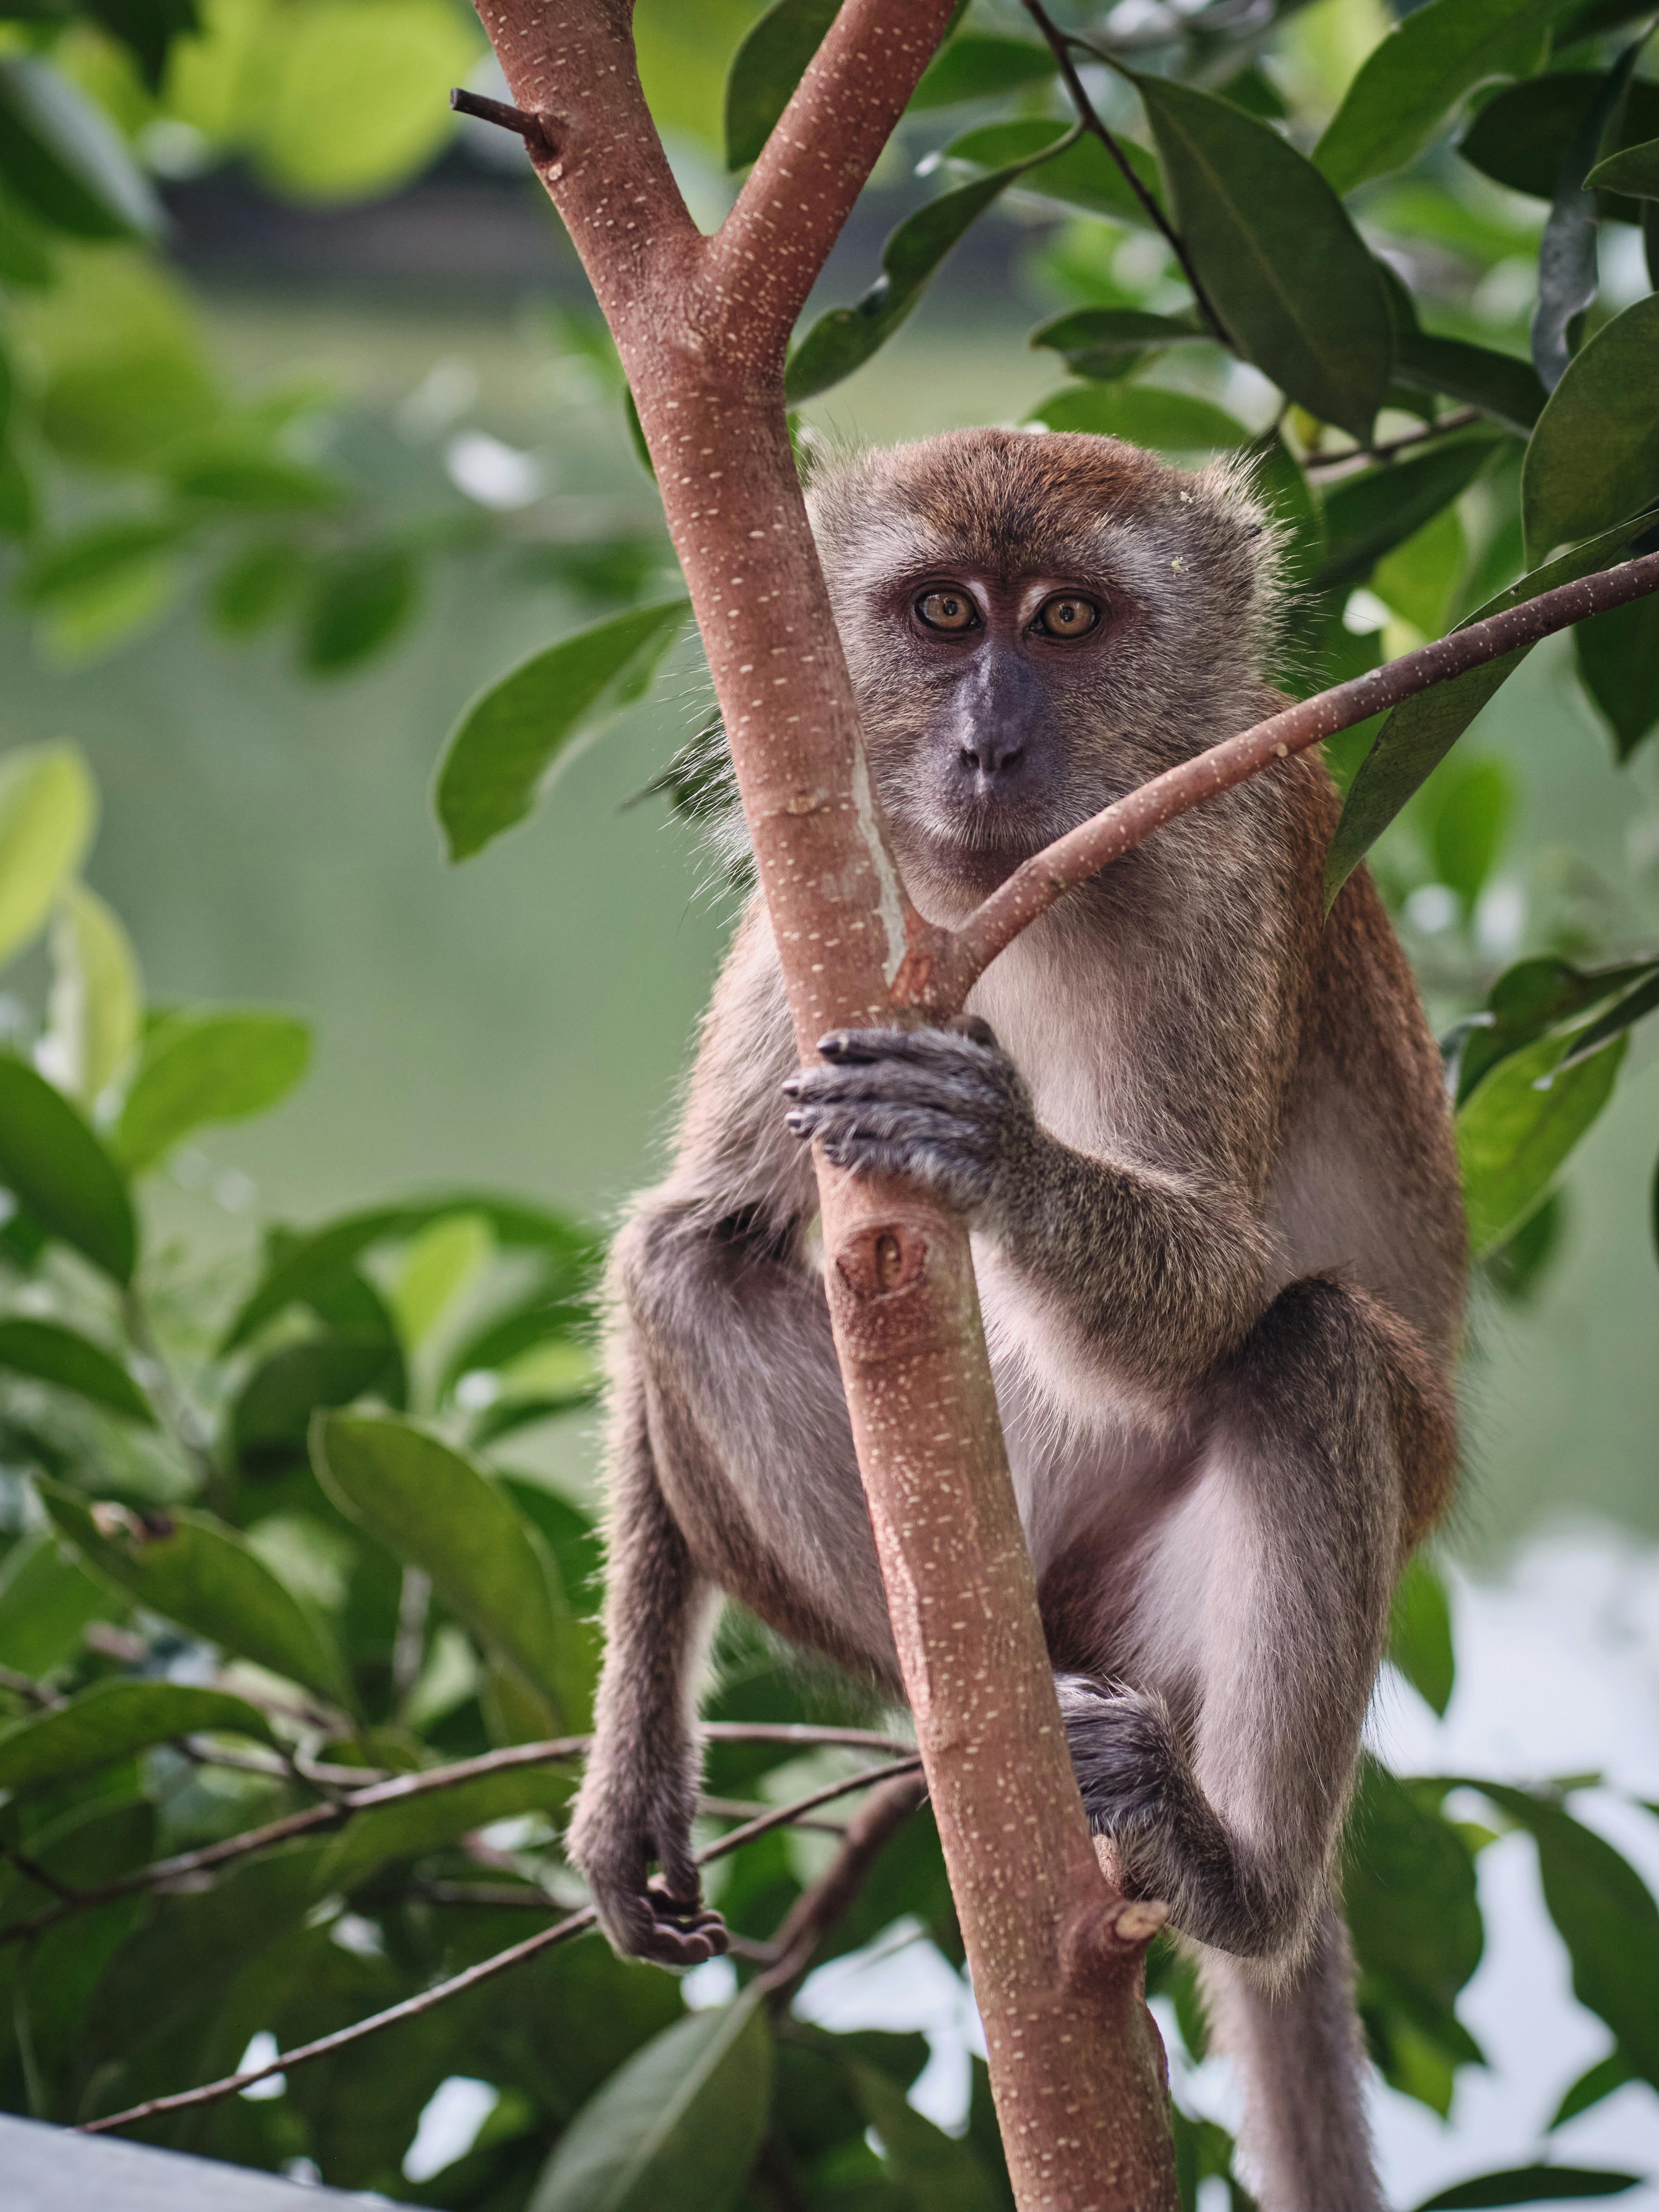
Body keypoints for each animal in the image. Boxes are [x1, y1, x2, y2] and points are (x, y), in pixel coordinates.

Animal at [566, 426, 1465, 2212]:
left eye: (1062, 617)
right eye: (937, 612)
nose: (986, 745)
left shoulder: (1228, 872)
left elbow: (1225, 1285)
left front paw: (991, 1152)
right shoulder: (830, 914)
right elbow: (706, 1213)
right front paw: (631, 1784)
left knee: (1312, 1343)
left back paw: (1231, 1871)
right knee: (687, 1263)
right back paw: (994, 1717)